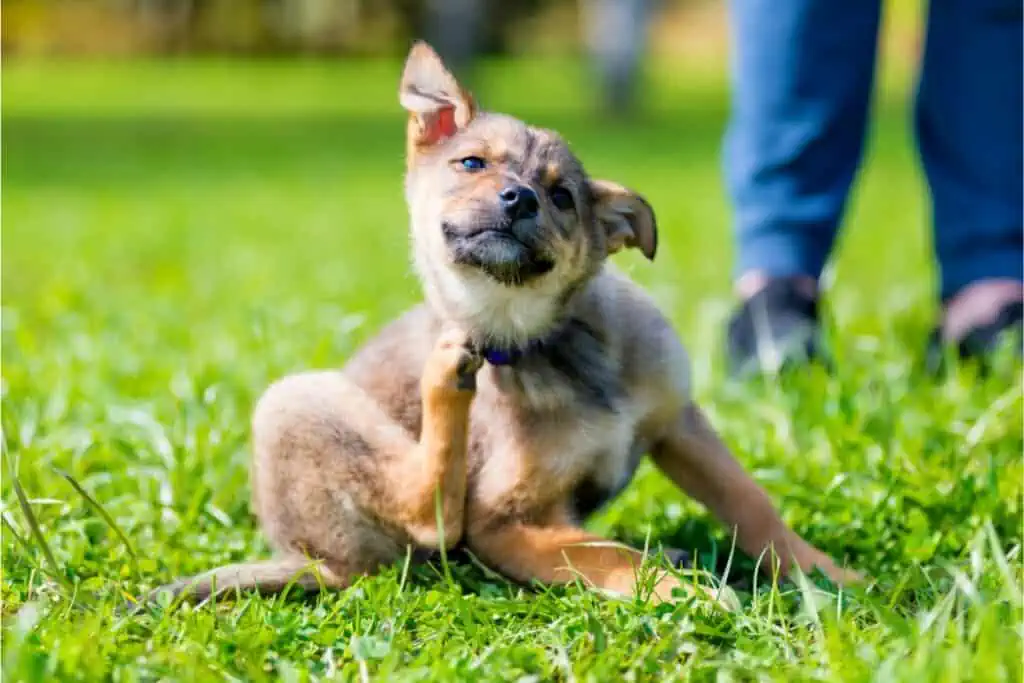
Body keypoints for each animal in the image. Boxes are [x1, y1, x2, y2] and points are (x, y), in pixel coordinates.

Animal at [134, 42, 856, 610]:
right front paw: (687, 593)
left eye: (562, 196)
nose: (519, 198)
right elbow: (610, 554)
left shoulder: (678, 421)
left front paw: (825, 573)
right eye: (473, 164)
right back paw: (446, 377)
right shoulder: (503, 522)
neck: (550, 343)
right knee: (430, 513)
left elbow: (751, 502)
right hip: (296, 401)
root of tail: (306, 559)